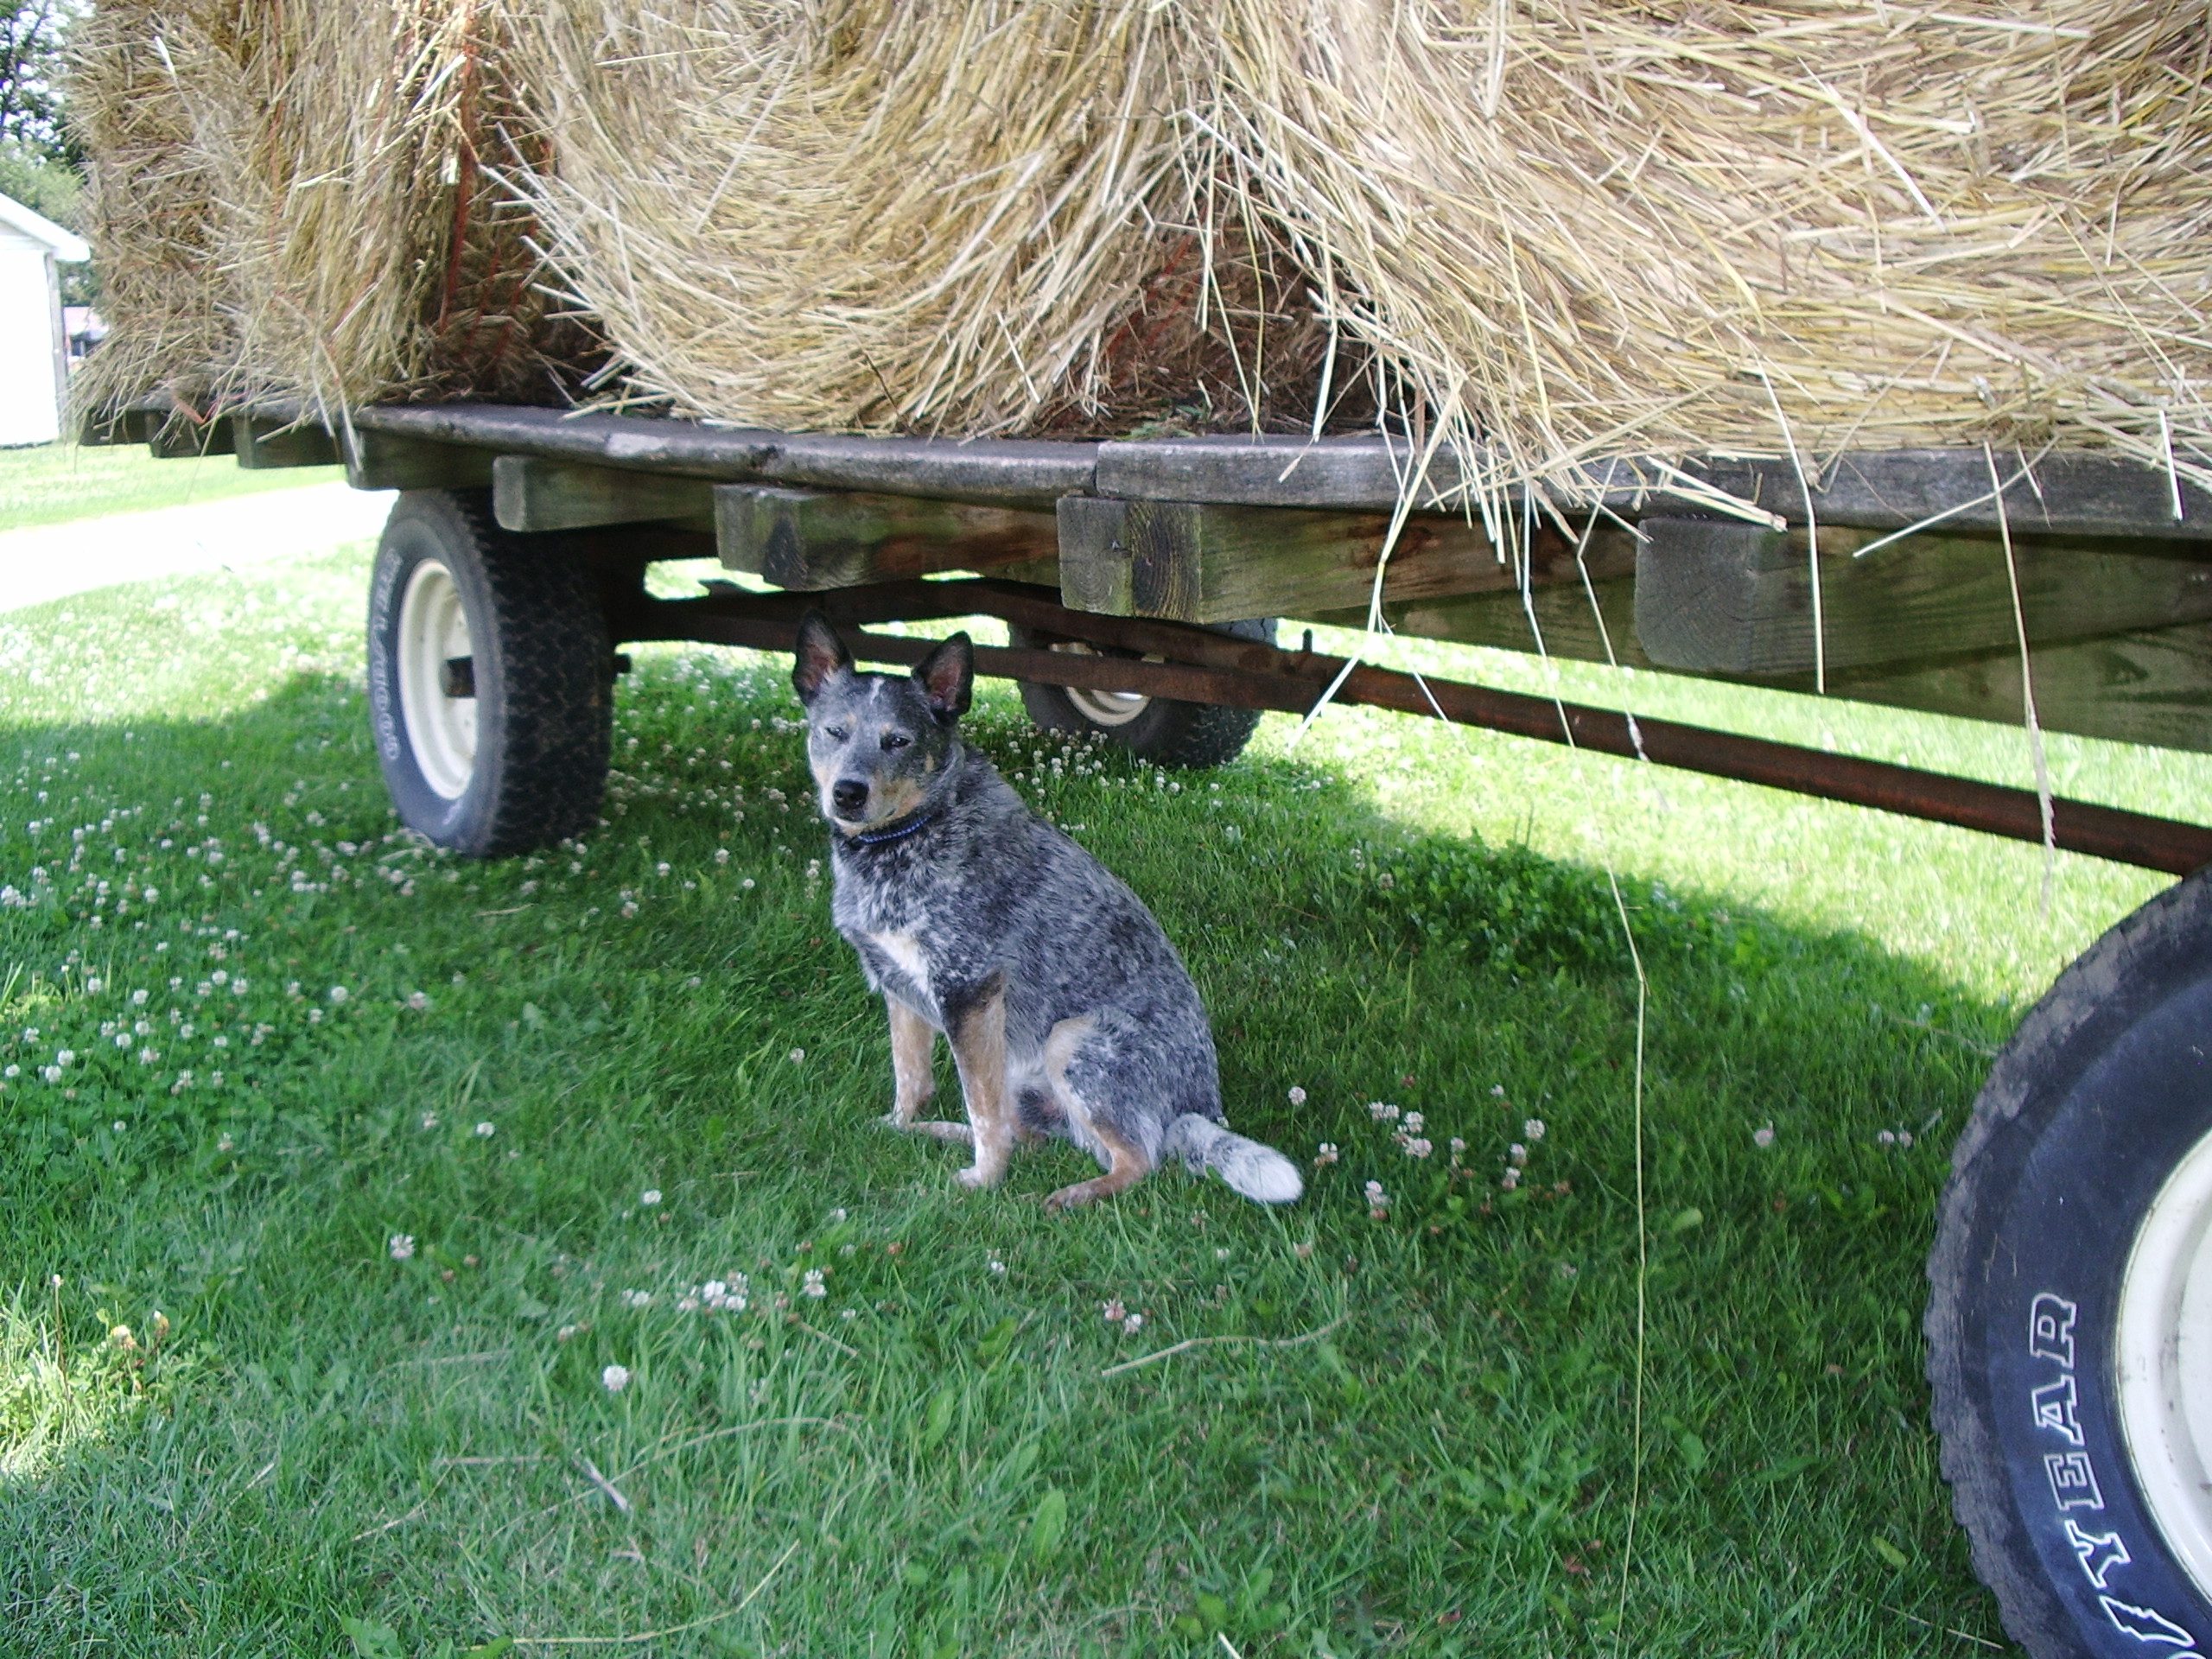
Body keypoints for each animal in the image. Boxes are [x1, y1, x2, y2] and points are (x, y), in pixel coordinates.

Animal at [790, 612, 1302, 1212]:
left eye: (898, 741)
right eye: (834, 732)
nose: (848, 792)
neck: (915, 834)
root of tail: (1198, 1111)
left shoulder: (970, 992)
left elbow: (982, 1108)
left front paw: (984, 1181)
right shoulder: (899, 989)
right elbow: (911, 1079)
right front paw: (900, 1126)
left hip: (1071, 1040)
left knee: (1138, 1158)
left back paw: (1075, 1194)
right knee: (1033, 1134)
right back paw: (939, 1133)